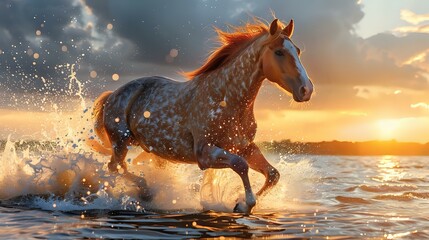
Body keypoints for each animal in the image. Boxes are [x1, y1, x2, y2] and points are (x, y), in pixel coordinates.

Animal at [90, 18, 312, 214]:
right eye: (279, 52)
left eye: (298, 51)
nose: (307, 90)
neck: (226, 99)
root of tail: (113, 94)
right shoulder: (205, 153)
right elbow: (240, 164)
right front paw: (243, 203)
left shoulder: (245, 147)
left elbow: (273, 174)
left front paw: (240, 203)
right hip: (121, 141)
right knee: (115, 167)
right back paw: (146, 191)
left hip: (149, 149)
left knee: (128, 165)